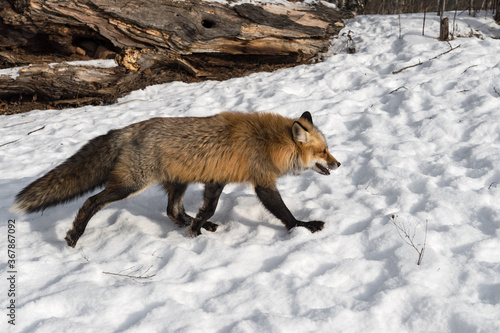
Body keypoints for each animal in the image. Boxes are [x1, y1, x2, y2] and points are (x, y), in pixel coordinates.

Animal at [10, 111, 340, 246]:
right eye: (323, 151)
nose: (338, 163)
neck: (268, 142)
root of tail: (125, 130)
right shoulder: (262, 182)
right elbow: (284, 213)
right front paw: (303, 226)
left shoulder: (216, 179)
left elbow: (207, 208)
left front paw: (197, 227)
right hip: (130, 185)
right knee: (91, 202)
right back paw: (74, 235)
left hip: (179, 181)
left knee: (172, 210)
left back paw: (199, 225)